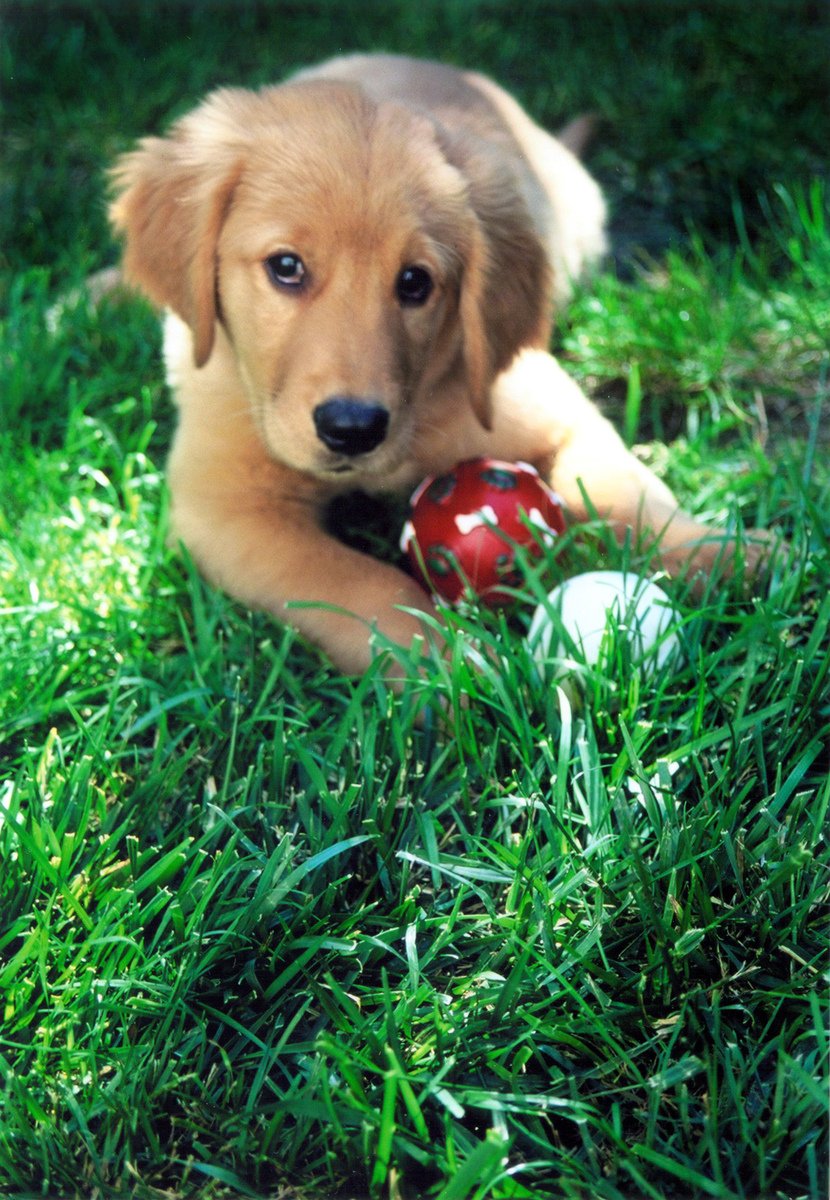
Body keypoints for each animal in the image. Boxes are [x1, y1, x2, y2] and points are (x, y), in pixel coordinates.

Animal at [112, 54, 762, 676]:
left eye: (415, 282)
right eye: (286, 267)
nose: (353, 429)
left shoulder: (549, 410)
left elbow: (622, 497)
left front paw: (733, 556)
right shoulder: (225, 510)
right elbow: (358, 582)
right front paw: (447, 668)